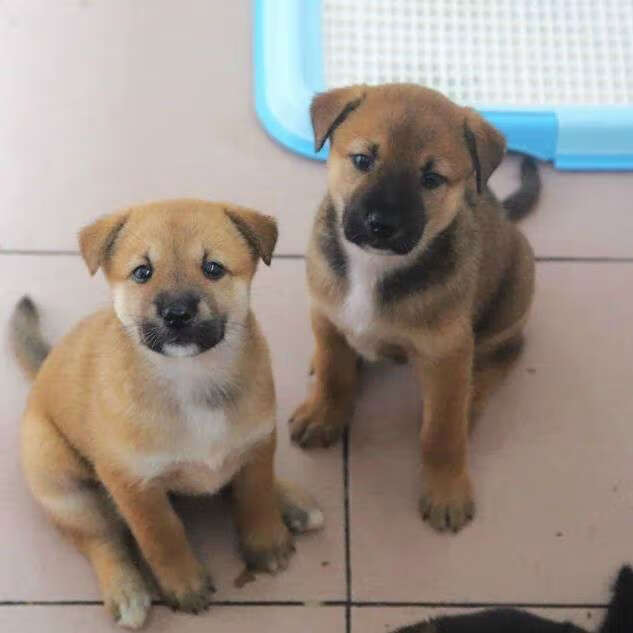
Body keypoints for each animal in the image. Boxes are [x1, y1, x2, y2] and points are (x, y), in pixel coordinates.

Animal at [11, 201, 320, 628]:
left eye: (212, 268)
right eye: (143, 272)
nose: (176, 313)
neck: (190, 379)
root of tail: (42, 369)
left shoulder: (259, 442)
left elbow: (254, 495)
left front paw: (266, 540)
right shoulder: (132, 484)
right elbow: (162, 535)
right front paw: (183, 583)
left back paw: (293, 503)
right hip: (61, 486)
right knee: (100, 541)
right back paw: (126, 591)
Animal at [288, 82, 540, 528]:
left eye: (431, 178)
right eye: (363, 160)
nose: (381, 226)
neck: (373, 267)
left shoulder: (447, 352)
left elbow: (441, 432)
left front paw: (446, 490)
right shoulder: (326, 315)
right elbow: (335, 375)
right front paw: (324, 412)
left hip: (513, 296)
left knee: (503, 356)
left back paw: (473, 398)